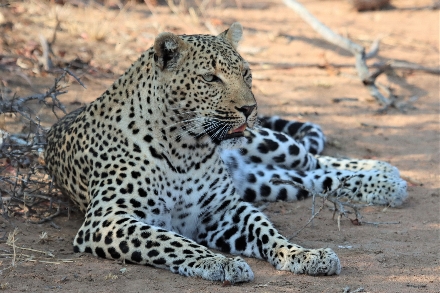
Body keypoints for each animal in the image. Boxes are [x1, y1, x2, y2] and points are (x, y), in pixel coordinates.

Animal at [44, 22, 406, 282]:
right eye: (210, 78)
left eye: (246, 73)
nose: (249, 108)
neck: (186, 149)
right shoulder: (108, 219)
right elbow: (169, 240)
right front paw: (218, 262)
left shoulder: (226, 209)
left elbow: (267, 232)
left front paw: (303, 254)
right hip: (265, 182)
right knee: (312, 178)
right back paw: (387, 183)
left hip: (270, 144)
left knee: (313, 159)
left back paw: (386, 175)